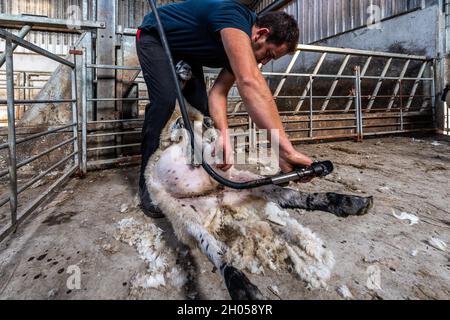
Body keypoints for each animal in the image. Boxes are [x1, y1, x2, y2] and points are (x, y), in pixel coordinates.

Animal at [145, 107, 372, 300]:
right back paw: (242, 288)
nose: (209, 121)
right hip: (186, 216)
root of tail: (218, 201)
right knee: (213, 249)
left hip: (244, 184)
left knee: (289, 195)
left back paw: (349, 201)